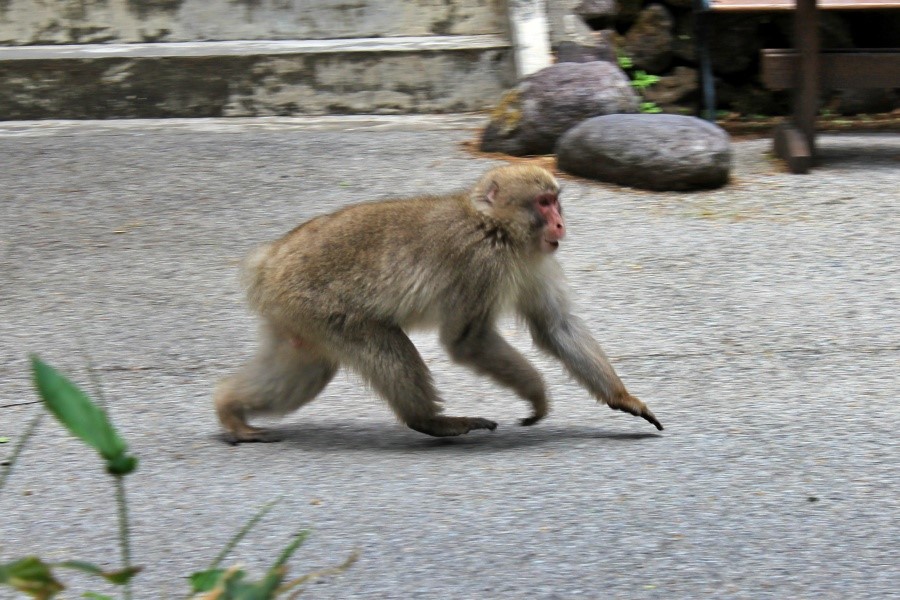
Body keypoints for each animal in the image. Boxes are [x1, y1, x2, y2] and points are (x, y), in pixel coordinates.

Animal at [213, 164, 660, 440]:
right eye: (543, 203)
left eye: (555, 200)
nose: (560, 223)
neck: (494, 227)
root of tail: (268, 259)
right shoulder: (480, 264)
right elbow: (468, 342)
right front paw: (537, 392)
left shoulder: (534, 259)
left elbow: (556, 327)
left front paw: (622, 397)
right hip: (318, 304)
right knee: (386, 350)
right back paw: (430, 421)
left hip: (296, 316)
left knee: (306, 370)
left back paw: (230, 410)